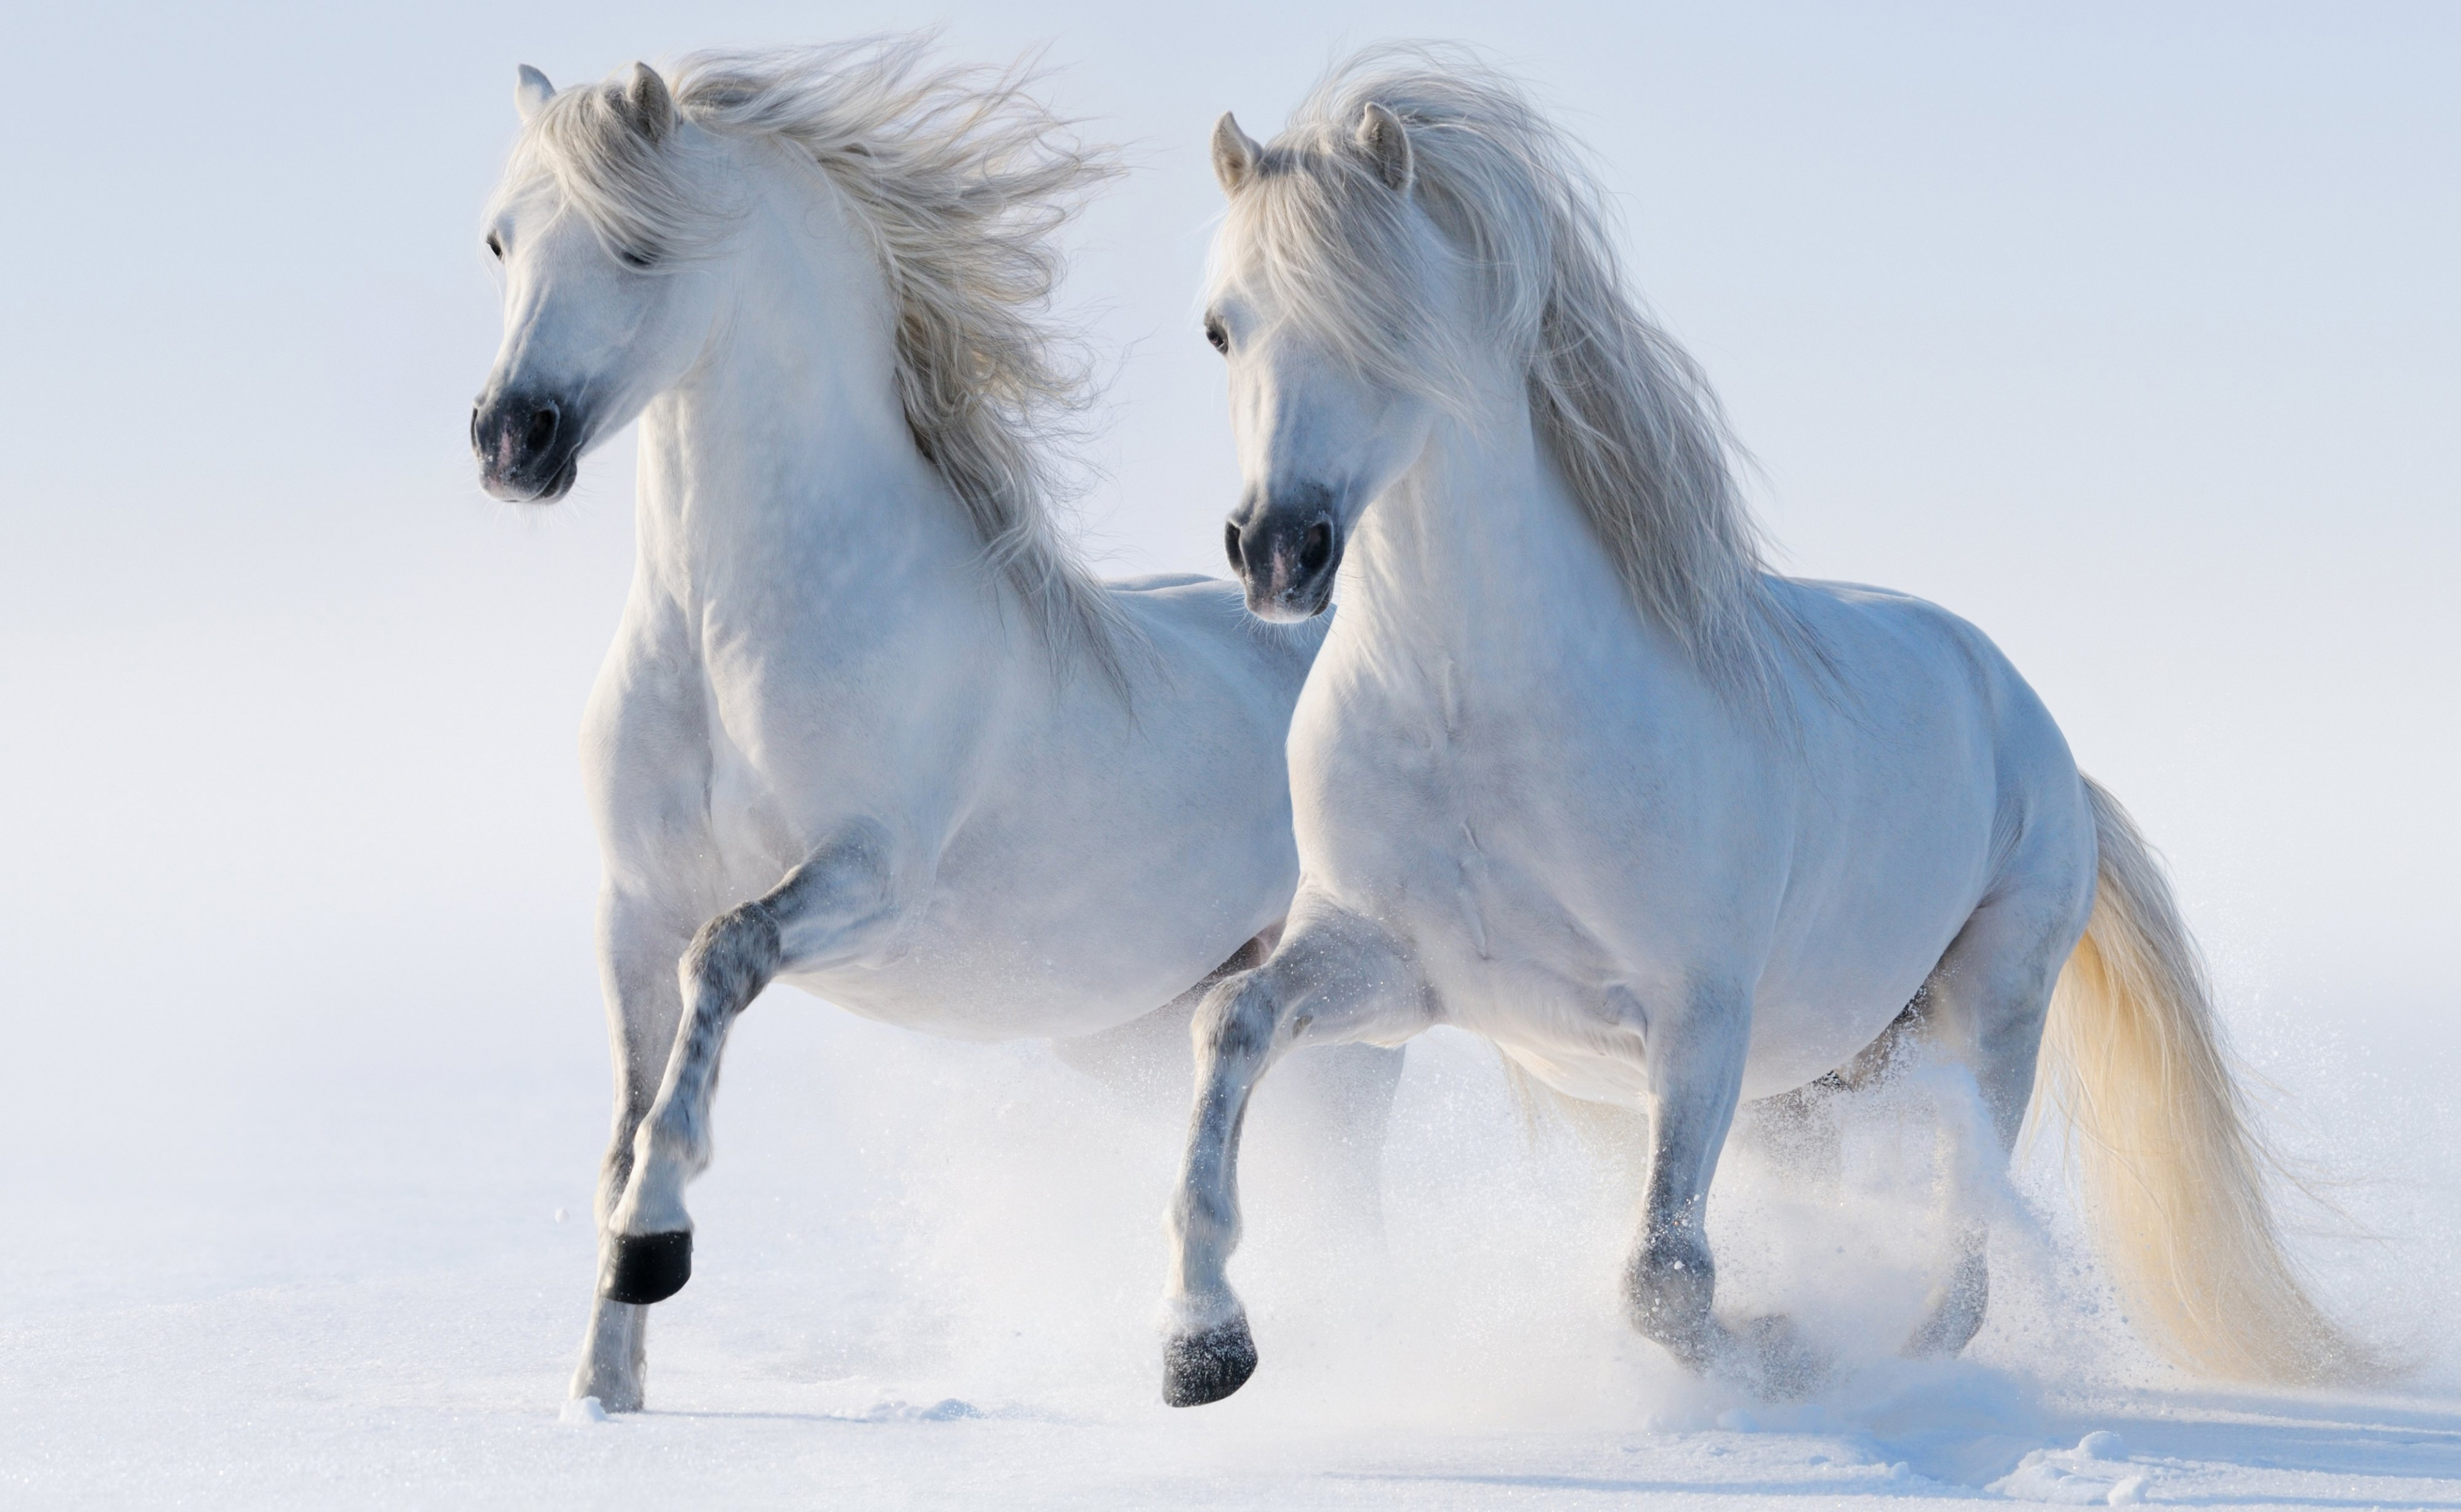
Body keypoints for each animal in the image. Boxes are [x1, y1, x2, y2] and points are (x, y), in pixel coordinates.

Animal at [468, 41, 1401, 1414]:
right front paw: (604, 1393)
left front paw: (656, 1247)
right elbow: (623, 1128)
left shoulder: (868, 879)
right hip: (1131, 1033)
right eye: (501, 240)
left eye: (637, 247)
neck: (727, 631)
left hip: (1349, 1022)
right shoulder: (631, 906)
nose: (510, 441)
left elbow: (722, 967)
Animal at [1158, 45, 2375, 1406]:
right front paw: (1202, 1344)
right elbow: (1229, 1022)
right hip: (1811, 1084)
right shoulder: (1391, 967)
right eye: (1221, 326)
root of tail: (2045, 742)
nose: (1279, 550)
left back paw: (1892, 1361)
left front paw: (1781, 1351)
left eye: (1385, 319)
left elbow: (1665, 1279)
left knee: (1961, 1251)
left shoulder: (1699, 1019)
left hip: (1984, 1018)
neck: (1477, 715)